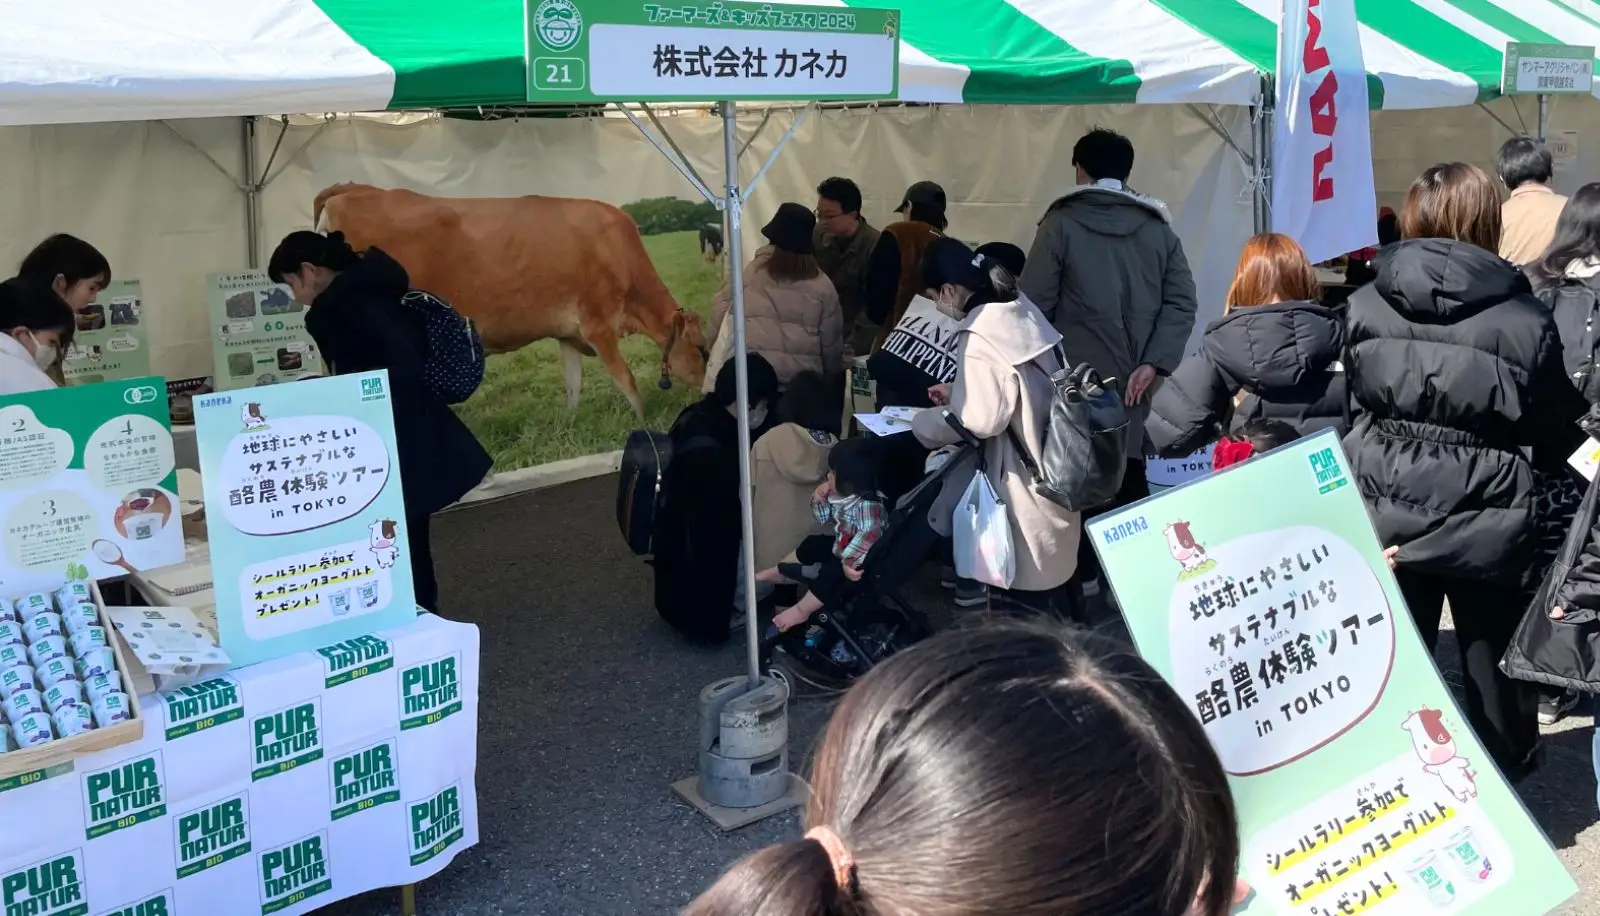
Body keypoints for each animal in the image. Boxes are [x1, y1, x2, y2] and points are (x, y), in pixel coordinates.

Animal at [312, 183, 707, 419]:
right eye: (702, 348)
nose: (709, 389)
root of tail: (350, 190)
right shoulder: (597, 324)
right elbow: (626, 379)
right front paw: (644, 421)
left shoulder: (568, 333)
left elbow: (573, 383)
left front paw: (571, 422)